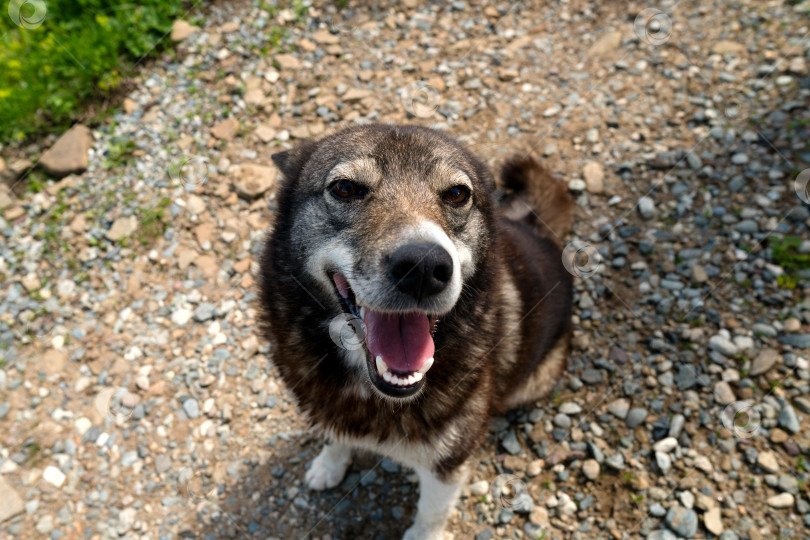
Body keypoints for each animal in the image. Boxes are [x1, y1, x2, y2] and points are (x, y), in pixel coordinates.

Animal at [256, 124, 572, 536]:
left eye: (457, 194)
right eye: (345, 188)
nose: (423, 267)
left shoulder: (449, 460)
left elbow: (432, 511)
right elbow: (333, 436)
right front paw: (328, 465)